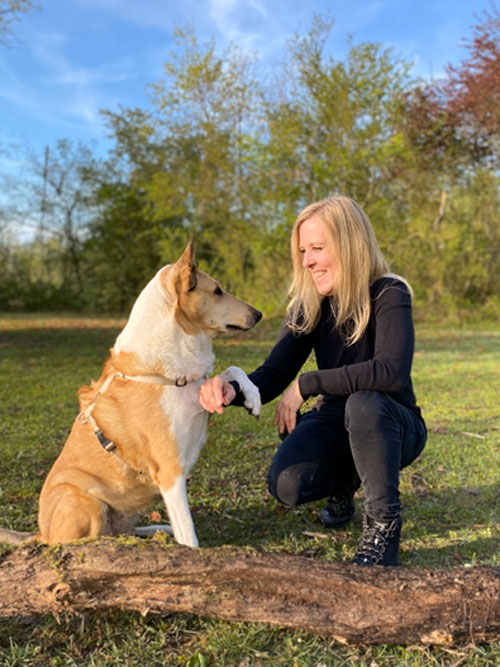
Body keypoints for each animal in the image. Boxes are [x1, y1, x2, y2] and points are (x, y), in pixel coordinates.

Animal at [0, 240, 262, 548]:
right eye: (218, 290)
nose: (258, 314)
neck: (170, 375)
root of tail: (42, 531)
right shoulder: (170, 471)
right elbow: (189, 536)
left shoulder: (201, 391)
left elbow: (231, 371)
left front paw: (254, 398)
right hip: (86, 501)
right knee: (87, 541)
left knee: (122, 533)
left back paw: (157, 530)